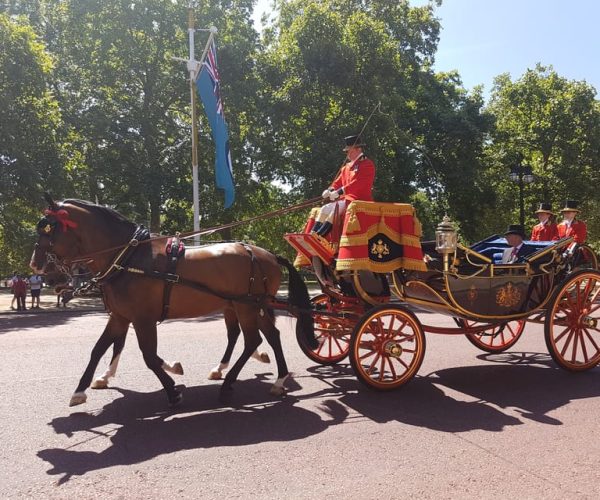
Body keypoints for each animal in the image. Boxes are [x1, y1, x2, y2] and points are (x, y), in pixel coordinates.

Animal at [31, 195, 318, 406]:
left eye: (49, 229)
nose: (37, 267)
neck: (128, 258)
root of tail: (266, 253)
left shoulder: (143, 319)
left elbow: (148, 356)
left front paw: (172, 388)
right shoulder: (121, 316)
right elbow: (101, 348)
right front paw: (82, 389)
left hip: (246, 306)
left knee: (252, 340)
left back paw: (229, 383)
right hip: (251, 305)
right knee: (269, 335)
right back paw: (278, 379)